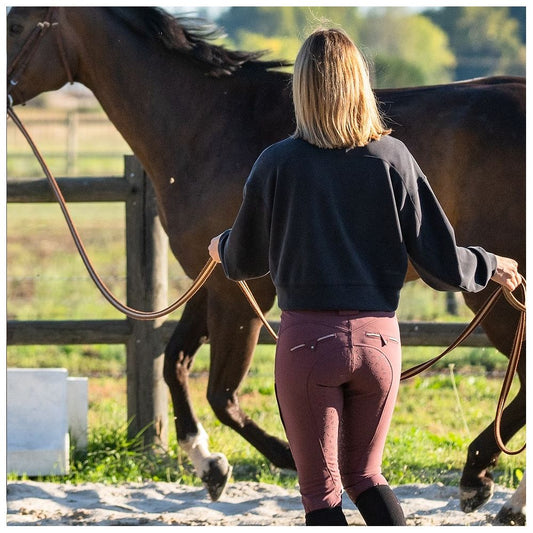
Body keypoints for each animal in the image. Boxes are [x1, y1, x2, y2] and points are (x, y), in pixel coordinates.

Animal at [6, 4, 524, 520]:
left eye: (15, 25)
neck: (208, 126)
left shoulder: (243, 293)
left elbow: (221, 393)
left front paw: (282, 456)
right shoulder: (214, 281)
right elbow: (174, 363)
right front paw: (209, 464)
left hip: (497, 301)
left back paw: (480, 479)